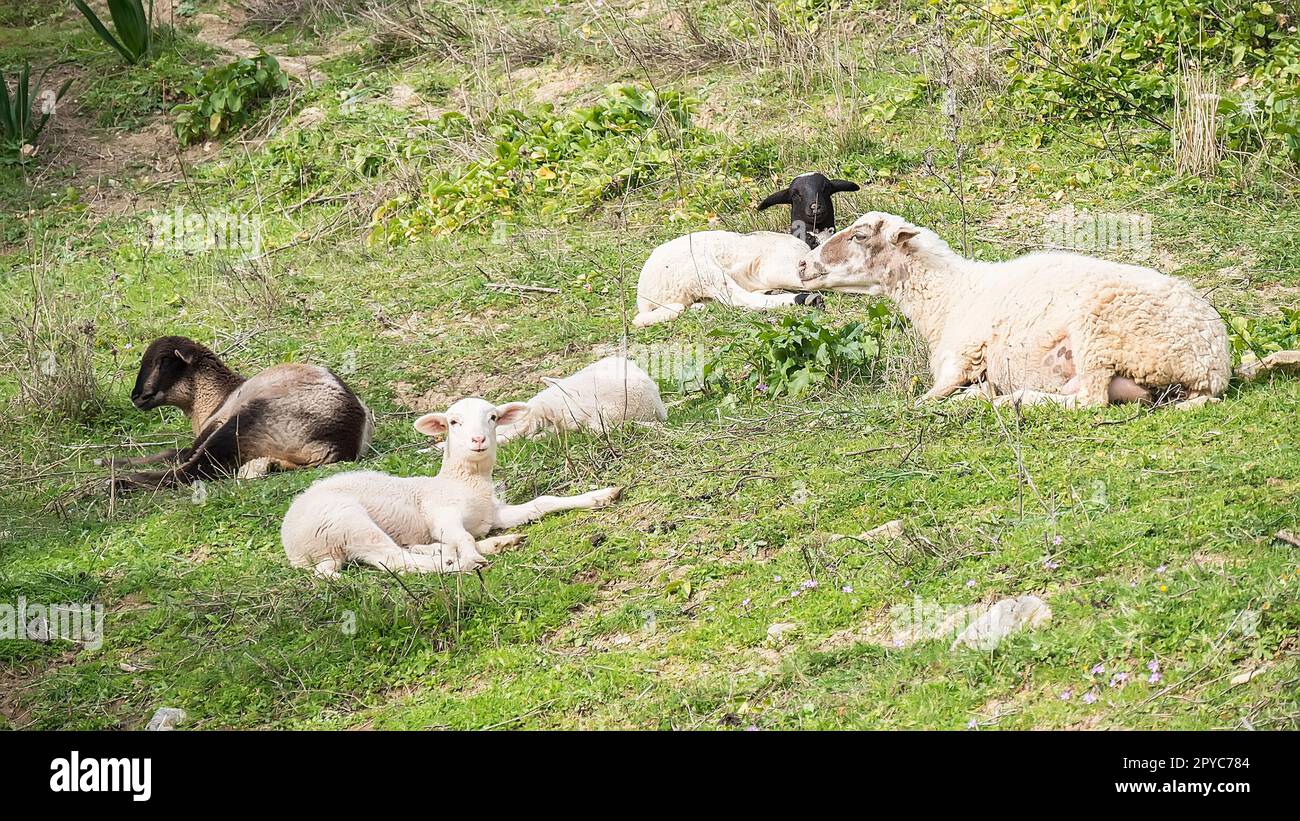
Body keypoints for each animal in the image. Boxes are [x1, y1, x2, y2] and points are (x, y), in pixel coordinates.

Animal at [104, 337, 374, 491]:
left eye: (163, 361)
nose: (136, 396)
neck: (214, 398)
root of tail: (340, 442)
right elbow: (171, 452)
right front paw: (112, 461)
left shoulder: (215, 425)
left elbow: (180, 455)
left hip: (244, 424)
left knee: (191, 472)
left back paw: (118, 484)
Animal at [280, 397, 624, 576]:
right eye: (453, 422)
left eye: (493, 417)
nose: (478, 439)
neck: (463, 483)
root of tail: (296, 548)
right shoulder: (442, 515)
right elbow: (461, 537)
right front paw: (470, 557)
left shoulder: (492, 514)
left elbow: (543, 503)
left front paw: (600, 496)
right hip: (347, 523)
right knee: (396, 561)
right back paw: (452, 562)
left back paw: (493, 544)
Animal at [795, 207, 1232, 407]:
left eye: (860, 236)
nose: (802, 264)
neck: (951, 296)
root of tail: (1213, 369)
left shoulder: (960, 359)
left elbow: (927, 399)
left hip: (1100, 335)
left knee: (1091, 400)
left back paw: (1018, 400)